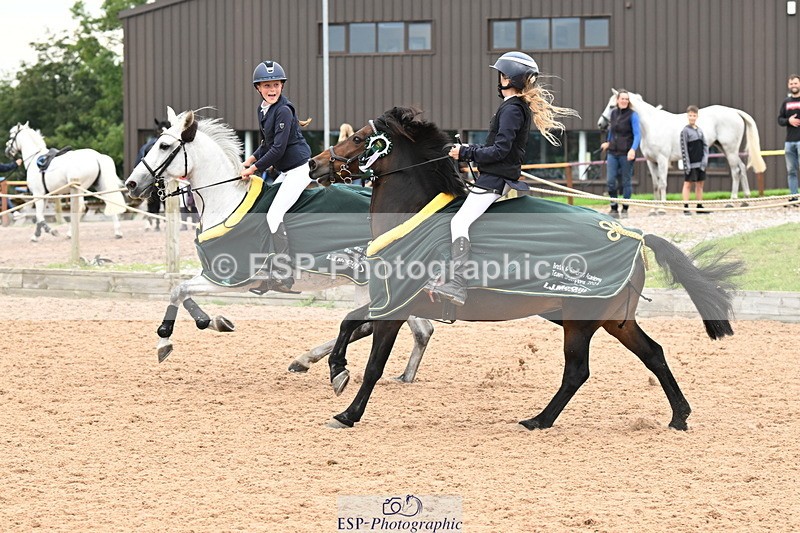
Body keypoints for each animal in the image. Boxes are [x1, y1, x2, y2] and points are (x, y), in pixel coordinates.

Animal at [124, 106, 433, 379]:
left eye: (164, 145)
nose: (131, 184)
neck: (225, 201)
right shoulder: (215, 275)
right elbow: (181, 290)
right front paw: (212, 321)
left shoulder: (232, 277)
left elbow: (178, 290)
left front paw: (165, 341)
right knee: (416, 327)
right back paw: (402, 375)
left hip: (367, 281)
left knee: (373, 324)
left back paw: (311, 360)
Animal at [308, 106, 743, 431]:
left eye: (359, 138)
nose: (314, 164)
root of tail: (629, 233)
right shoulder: (392, 301)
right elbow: (349, 323)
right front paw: (336, 371)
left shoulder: (396, 305)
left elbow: (374, 363)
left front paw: (348, 413)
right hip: (612, 318)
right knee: (653, 353)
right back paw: (678, 417)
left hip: (581, 319)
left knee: (577, 371)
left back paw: (539, 420)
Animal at [597, 89, 767, 210]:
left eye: (612, 106)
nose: (600, 124)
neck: (651, 125)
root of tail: (734, 111)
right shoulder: (651, 162)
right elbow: (655, 184)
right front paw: (654, 209)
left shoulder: (663, 160)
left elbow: (663, 183)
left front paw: (662, 208)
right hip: (726, 149)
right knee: (742, 168)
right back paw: (745, 200)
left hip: (729, 149)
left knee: (736, 172)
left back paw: (732, 201)